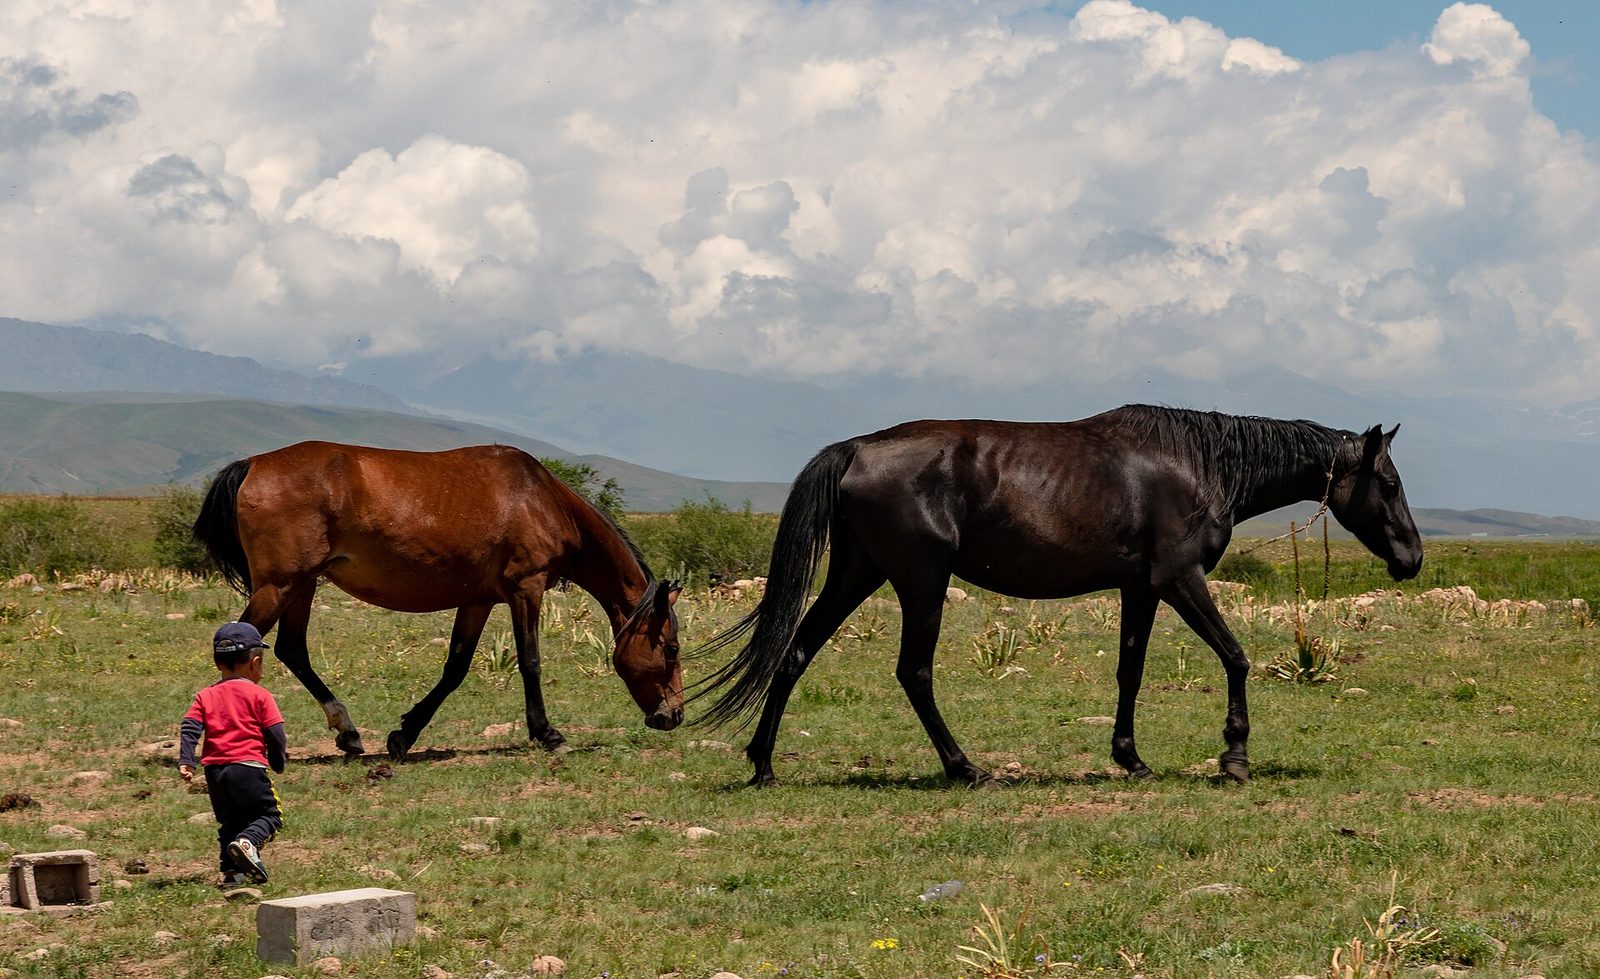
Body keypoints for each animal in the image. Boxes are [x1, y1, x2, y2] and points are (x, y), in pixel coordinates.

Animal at [193, 441, 683, 760]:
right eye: (672, 648)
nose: (673, 715)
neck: (540, 498)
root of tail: (252, 464)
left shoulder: (479, 601)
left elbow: (455, 668)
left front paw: (403, 735)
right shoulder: (526, 589)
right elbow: (530, 661)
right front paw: (548, 734)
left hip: (302, 585)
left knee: (293, 650)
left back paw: (349, 734)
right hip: (280, 586)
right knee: (238, 645)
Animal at [693, 405, 1423, 786]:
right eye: (1388, 483)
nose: (1413, 557)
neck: (1199, 465)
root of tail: (856, 448)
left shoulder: (1140, 589)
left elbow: (1130, 671)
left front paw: (1130, 757)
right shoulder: (1180, 580)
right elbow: (1237, 657)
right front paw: (1235, 756)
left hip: (857, 573)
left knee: (794, 653)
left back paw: (763, 764)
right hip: (921, 581)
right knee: (913, 672)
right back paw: (965, 767)